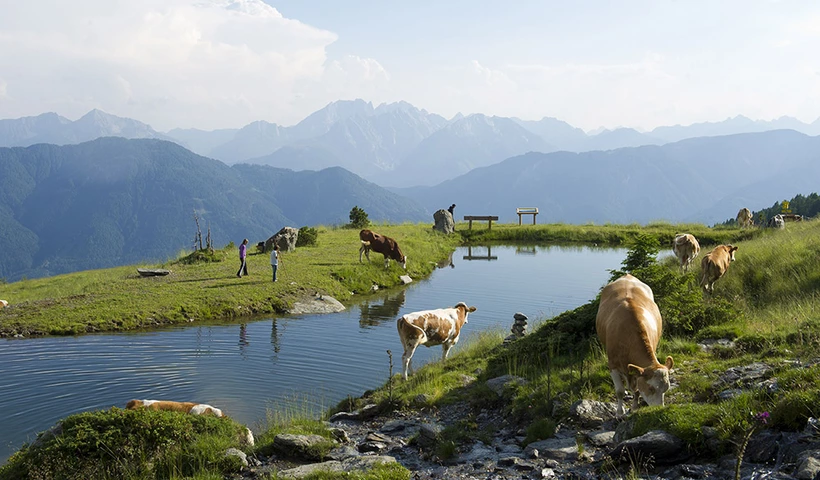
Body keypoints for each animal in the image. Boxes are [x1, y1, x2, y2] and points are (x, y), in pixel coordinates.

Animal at [596, 274, 672, 416]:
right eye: (650, 388)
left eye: (666, 388)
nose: (658, 409)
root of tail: (627, 275)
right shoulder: (612, 365)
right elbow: (619, 391)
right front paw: (619, 412)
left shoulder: (637, 372)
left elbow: (636, 391)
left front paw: (635, 407)